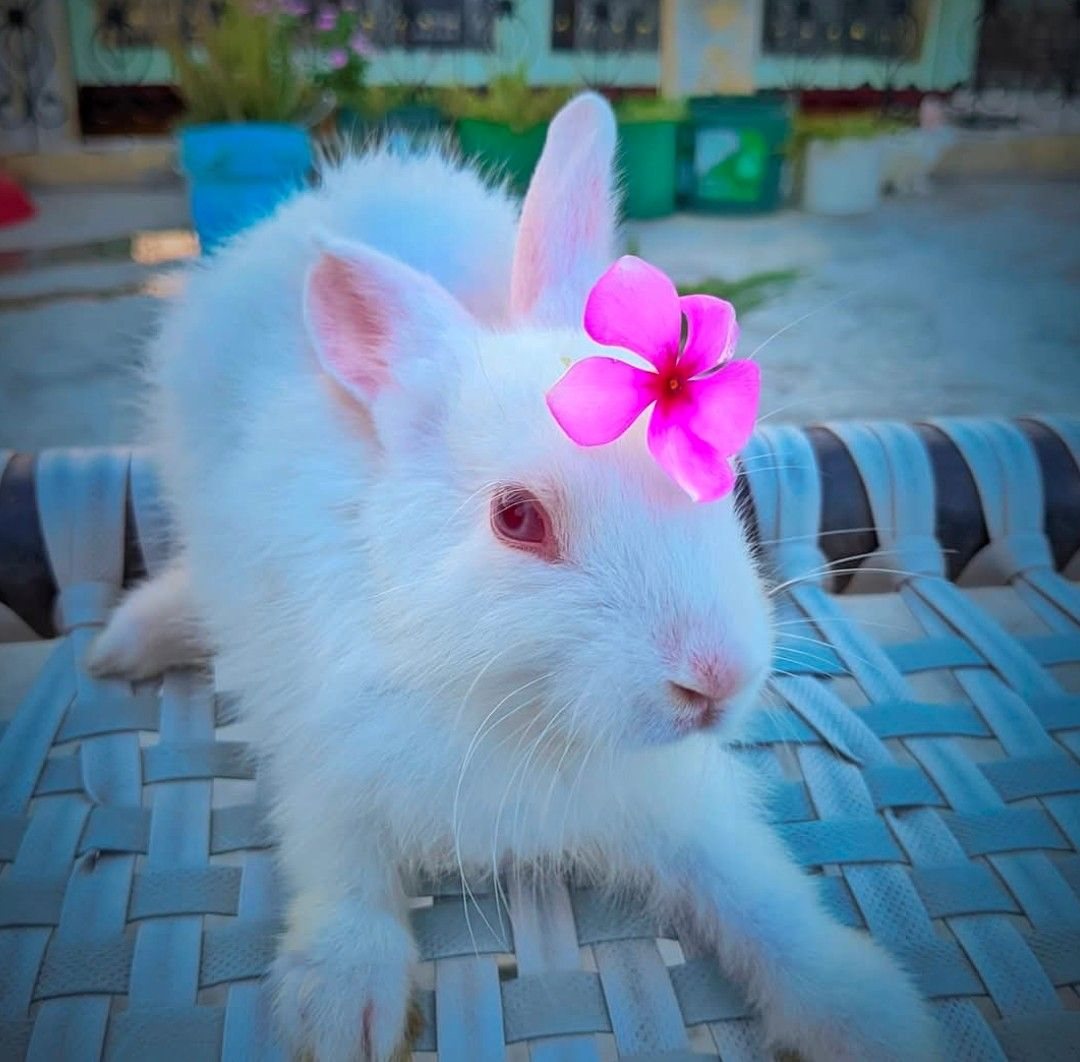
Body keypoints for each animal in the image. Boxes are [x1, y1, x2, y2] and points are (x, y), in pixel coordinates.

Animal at [90, 93, 938, 1061]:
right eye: (516, 518)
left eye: (713, 464)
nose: (716, 680)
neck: (514, 704)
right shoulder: (318, 752)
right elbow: (338, 859)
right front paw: (344, 1006)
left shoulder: (676, 801)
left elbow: (757, 894)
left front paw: (869, 1014)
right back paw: (126, 642)